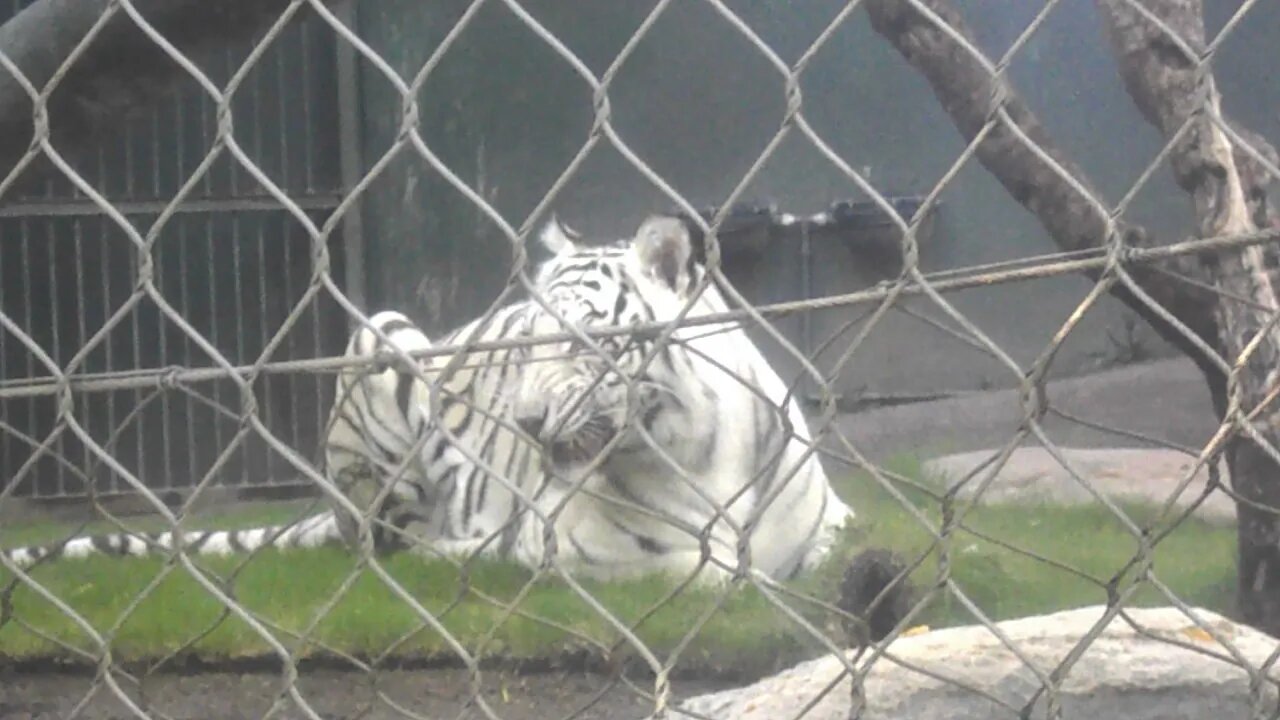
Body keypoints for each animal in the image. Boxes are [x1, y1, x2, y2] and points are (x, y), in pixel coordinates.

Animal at [2, 214, 854, 585]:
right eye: (525, 344)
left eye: (581, 338)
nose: (526, 422)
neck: (696, 440)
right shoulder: (575, 542)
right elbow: (707, 570)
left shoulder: (836, 516)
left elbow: (832, 546)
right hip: (379, 343)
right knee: (393, 541)